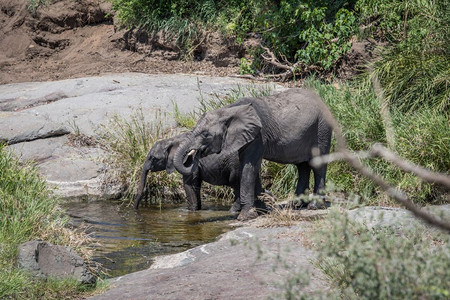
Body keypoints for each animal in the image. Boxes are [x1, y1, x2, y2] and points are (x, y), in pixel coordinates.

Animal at [134, 131, 268, 211]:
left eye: (153, 158)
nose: (135, 209)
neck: (172, 139)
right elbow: (196, 185)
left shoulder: (190, 161)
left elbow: (189, 185)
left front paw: (191, 211)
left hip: (236, 165)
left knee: (236, 184)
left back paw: (233, 211)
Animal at [172, 88, 334, 220]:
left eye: (206, 134)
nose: (193, 156)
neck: (228, 111)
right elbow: (252, 168)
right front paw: (262, 211)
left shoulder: (258, 135)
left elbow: (248, 167)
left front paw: (246, 216)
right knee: (302, 166)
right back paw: (297, 205)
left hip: (322, 129)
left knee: (317, 165)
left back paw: (314, 206)